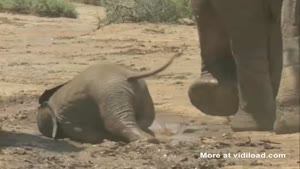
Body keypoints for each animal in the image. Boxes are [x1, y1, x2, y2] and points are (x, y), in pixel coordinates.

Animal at [36, 53, 179, 143]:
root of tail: (128, 74)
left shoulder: (67, 119)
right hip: (137, 90)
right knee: (145, 119)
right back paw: (150, 138)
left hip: (109, 91)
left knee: (115, 122)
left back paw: (148, 140)